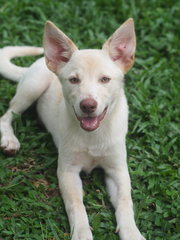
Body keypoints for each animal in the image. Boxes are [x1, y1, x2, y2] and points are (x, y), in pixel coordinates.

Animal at [0, 18, 146, 240]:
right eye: (74, 80)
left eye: (105, 79)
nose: (88, 105)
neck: (94, 136)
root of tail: (40, 61)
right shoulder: (67, 171)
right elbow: (76, 205)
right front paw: (82, 233)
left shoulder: (118, 169)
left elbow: (125, 201)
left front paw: (131, 232)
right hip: (33, 87)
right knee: (6, 116)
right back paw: (9, 139)